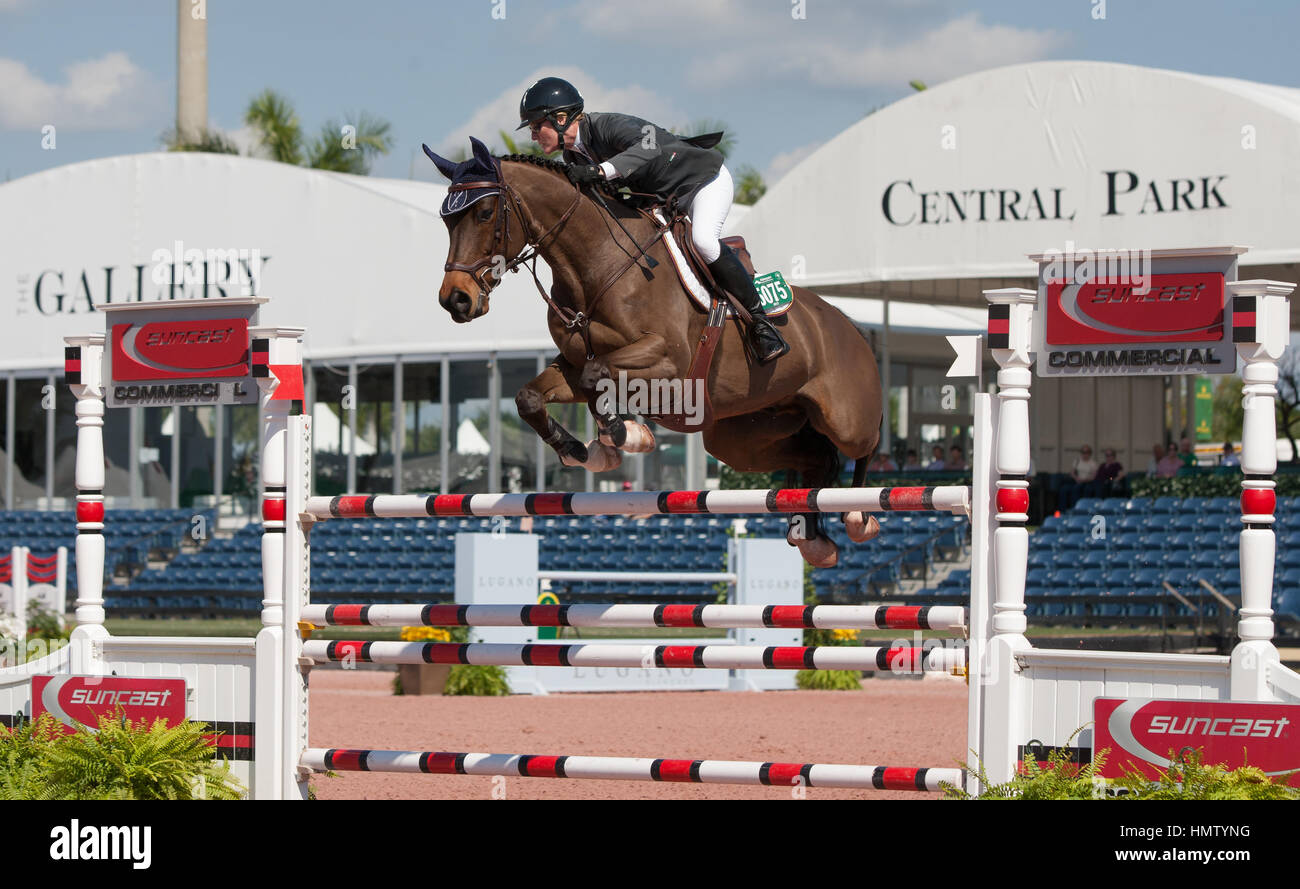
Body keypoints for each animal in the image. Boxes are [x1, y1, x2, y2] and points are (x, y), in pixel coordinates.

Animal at [426, 139, 883, 569]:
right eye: (447, 220)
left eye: (485, 213)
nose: (456, 301)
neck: (598, 265)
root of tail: (849, 323)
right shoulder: (573, 365)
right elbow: (533, 396)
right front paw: (585, 450)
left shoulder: (668, 363)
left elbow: (597, 376)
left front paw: (624, 435)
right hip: (742, 437)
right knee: (818, 458)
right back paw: (814, 539)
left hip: (845, 419)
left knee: (863, 447)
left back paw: (858, 518)